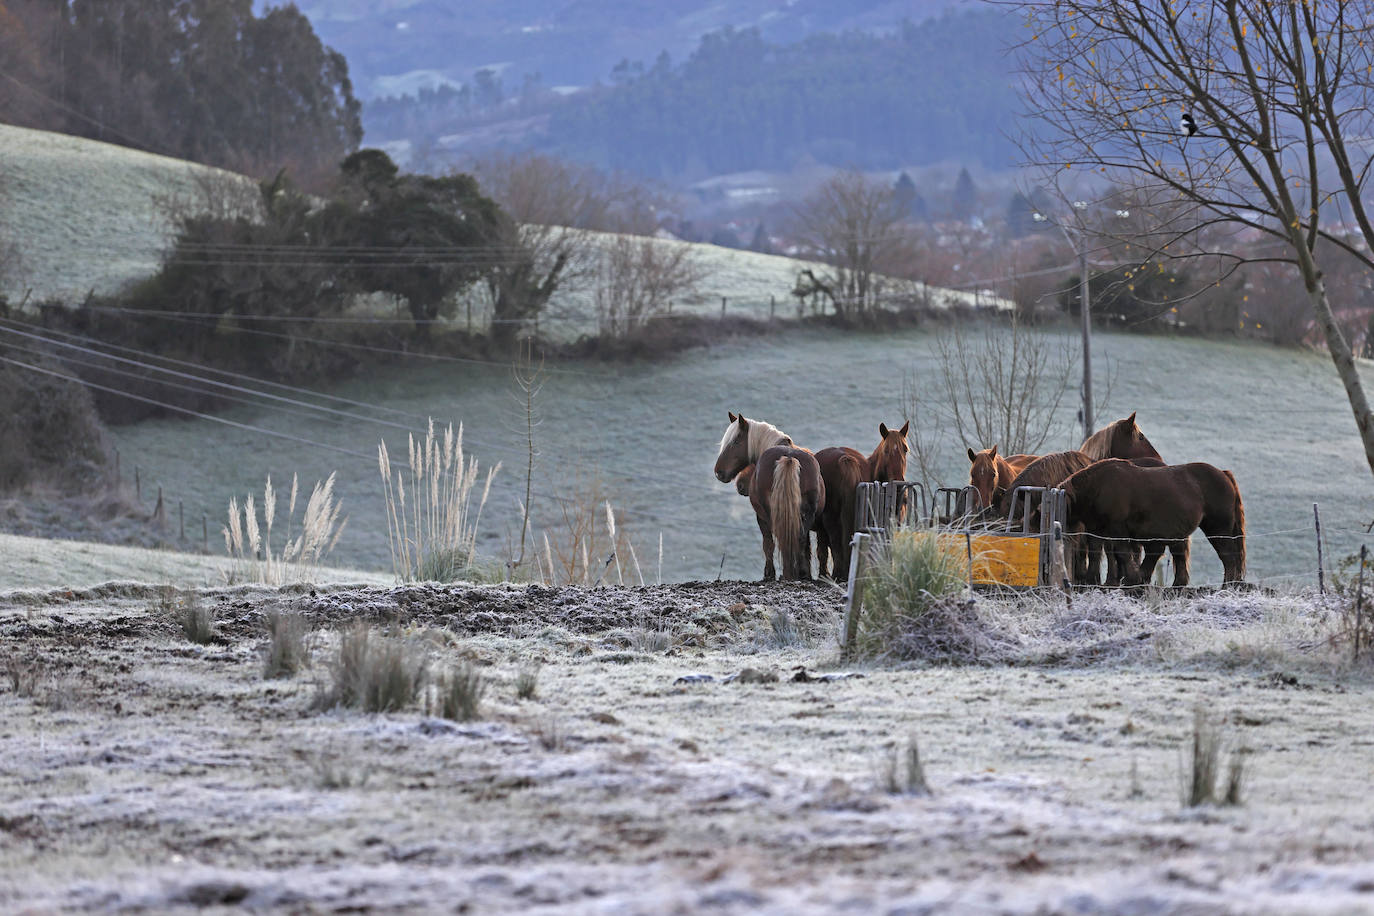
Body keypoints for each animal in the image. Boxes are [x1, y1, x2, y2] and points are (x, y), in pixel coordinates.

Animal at [714, 414, 818, 579]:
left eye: (736, 441)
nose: (719, 472)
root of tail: (788, 458)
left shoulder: (761, 517)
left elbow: (768, 544)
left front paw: (769, 574)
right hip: (807, 514)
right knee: (799, 539)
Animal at [1060, 458, 1247, 587]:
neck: (1099, 487)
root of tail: (1223, 473)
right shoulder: (1097, 530)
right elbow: (1096, 553)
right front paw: (1093, 581)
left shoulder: (1117, 530)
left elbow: (1122, 554)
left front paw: (1132, 579)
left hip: (1217, 529)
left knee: (1228, 557)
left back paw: (1226, 587)